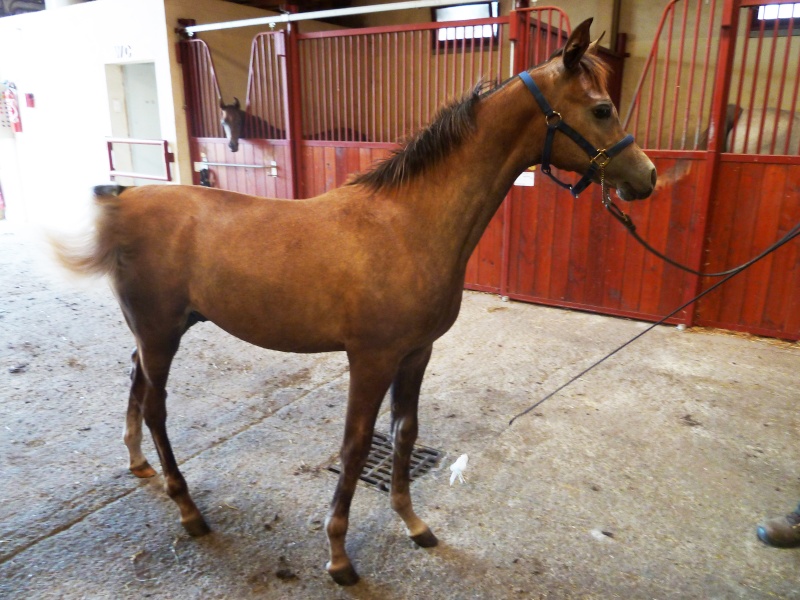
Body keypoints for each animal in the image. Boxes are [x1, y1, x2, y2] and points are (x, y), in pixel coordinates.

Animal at [57, 21, 656, 584]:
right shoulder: (371, 359)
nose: (647, 177)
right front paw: (339, 555)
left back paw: (140, 465)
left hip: (161, 330)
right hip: (159, 333)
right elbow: (357, 444)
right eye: (602, 108)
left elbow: (404, 434)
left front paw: (413, 523)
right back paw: (188, 510)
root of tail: (126, 197)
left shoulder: (416, 354)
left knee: (135, 382)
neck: (409, 223)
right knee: (157, 408)